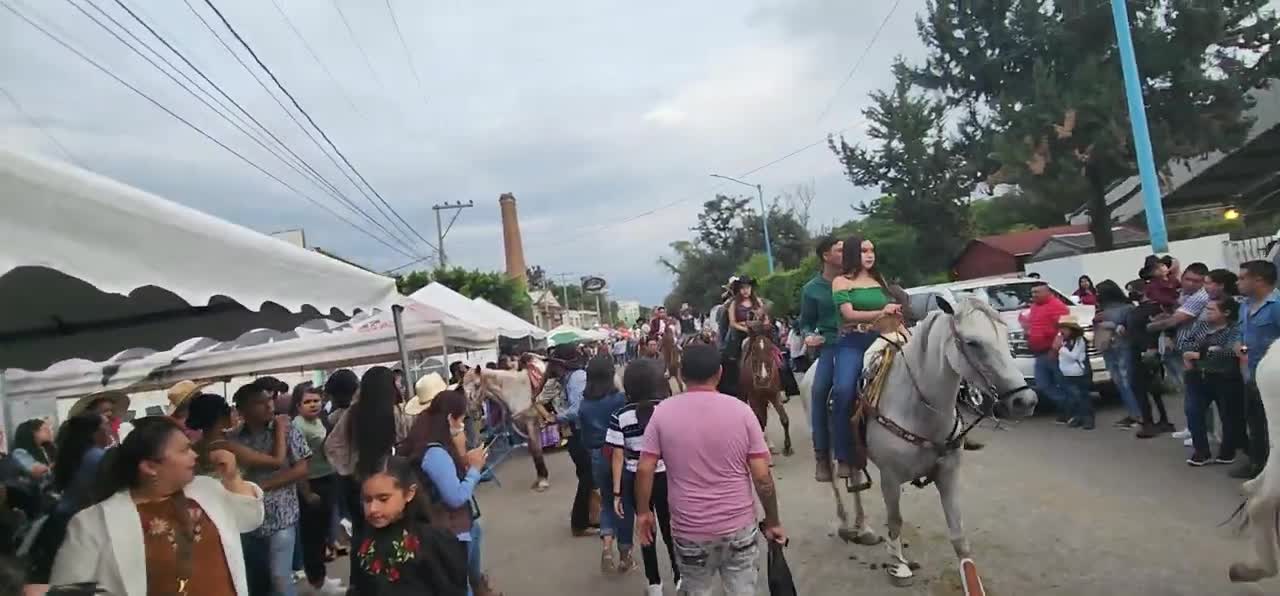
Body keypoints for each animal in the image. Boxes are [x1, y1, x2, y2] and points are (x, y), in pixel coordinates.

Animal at [742, 321, 788, 455]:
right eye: (753, 349)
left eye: (770, 348)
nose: (763, 379)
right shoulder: (753, 398)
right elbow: (759, 421)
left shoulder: (774, 395)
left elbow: (784, 419)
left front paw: (787, 447)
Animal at [798, 295, 1039, 588]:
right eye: (973, 343)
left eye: (1005, 336)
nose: (1025, 401)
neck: (917, 406)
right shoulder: (890, 478)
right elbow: (895, 520)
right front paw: (899, 565)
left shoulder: (948, 474)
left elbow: (958, 534)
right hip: (827, 440)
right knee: (834, 479)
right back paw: (845, 524)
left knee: (853, 477)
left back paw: (863, 528)